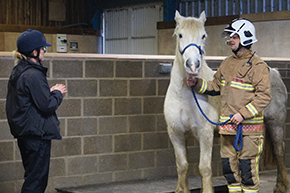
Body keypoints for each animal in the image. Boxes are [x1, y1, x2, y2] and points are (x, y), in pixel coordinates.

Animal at [164, 10, 288, 193]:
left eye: (203, 35)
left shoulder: (205, 134)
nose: (193, 65)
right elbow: (182, 166)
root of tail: (274, 71)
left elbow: (204, 168)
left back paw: (281, 186)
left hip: (275, 124)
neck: (183, 97)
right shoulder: (176, 134)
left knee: (279, 152)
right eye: (180, 35)